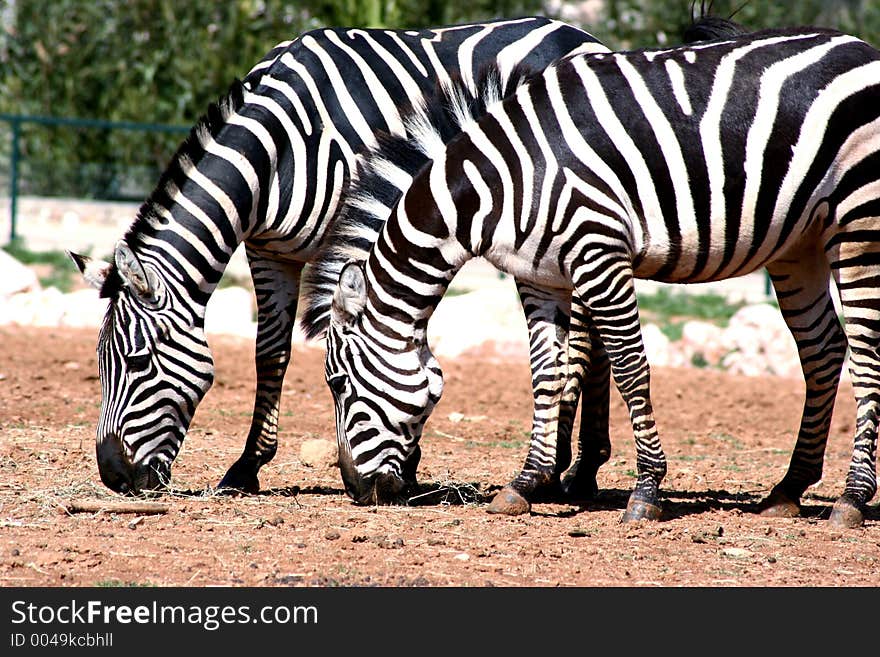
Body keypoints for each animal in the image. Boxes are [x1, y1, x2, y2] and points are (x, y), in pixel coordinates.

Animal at [67, 16, 612, 492]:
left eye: (137, 362)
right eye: (98, 364)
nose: (113, 476)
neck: (278, 153)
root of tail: (576, 31)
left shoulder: (382, 222)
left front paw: (402, 461)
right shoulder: (268, 250)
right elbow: (272, 353)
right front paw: (247, 468)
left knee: (586, 339)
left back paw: (569, 467)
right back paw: (580, 470)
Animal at [320, 26, 880, 528]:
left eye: (339, 384)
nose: (357, 491)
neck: (498, 182)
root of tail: (861, 47)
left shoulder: (600, 254)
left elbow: (631, 369)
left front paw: (647, 490)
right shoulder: (539, 275)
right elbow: (546, 373)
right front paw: (524, 484)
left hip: (858, 222)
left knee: (865, 353)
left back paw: (851, 500)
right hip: (798, 242)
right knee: (823, 350)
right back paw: (788, 490)